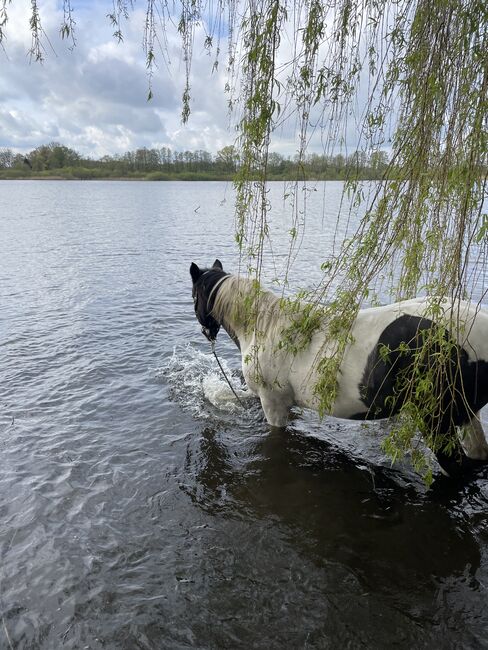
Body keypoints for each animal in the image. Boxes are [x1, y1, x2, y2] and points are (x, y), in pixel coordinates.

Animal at [190, 258, 488, 476]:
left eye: (194, 297)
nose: (206, 332)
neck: (262, 326)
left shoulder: (272, 403)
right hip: (466, 414)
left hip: (437, 420)